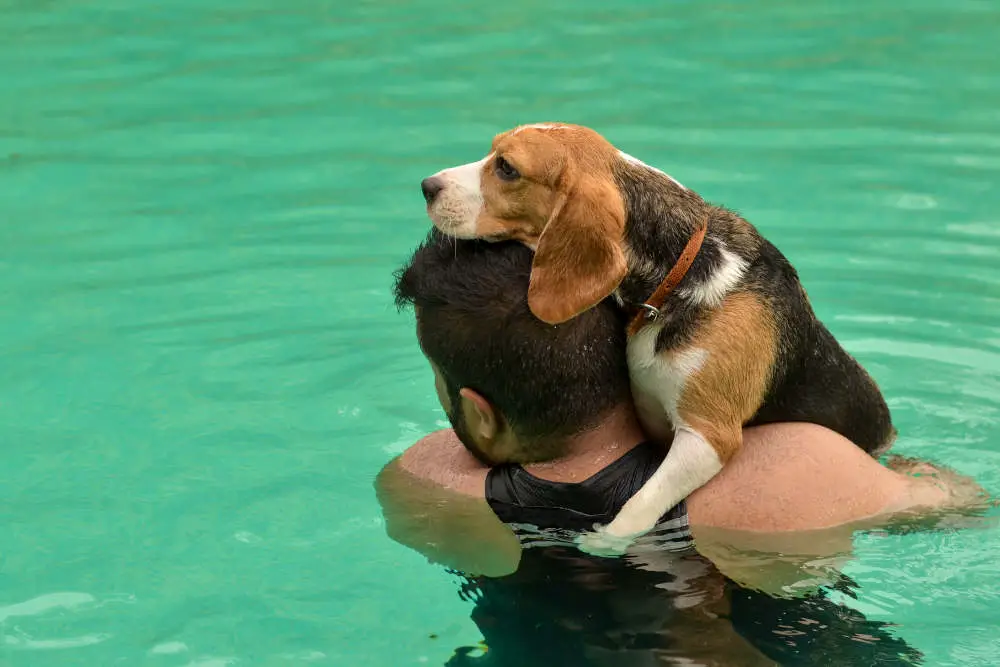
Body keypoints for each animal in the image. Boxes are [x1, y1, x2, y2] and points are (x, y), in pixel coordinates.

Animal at [418, 122, 896, 552]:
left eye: (507, 168)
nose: (427, 185)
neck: (677, 276)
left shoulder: (708, 438)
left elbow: (641, 500)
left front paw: (605, 541)